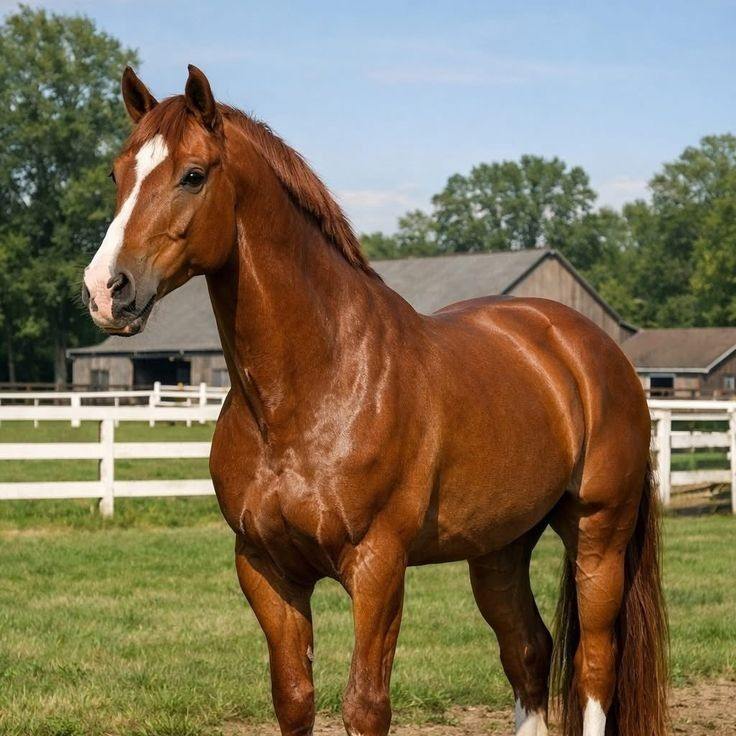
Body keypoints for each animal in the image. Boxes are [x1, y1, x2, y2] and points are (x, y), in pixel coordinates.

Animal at [82, 65, 668, 736]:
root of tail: (591, 349)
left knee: (594, 663)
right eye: (118, 174)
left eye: (193, 174)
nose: (106, 289)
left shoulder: (378, 567)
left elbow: (365, 706)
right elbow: (294, 697)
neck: (309, 393)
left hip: (598, 533)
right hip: (499, 549)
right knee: (528, 651)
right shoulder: (265, 568)